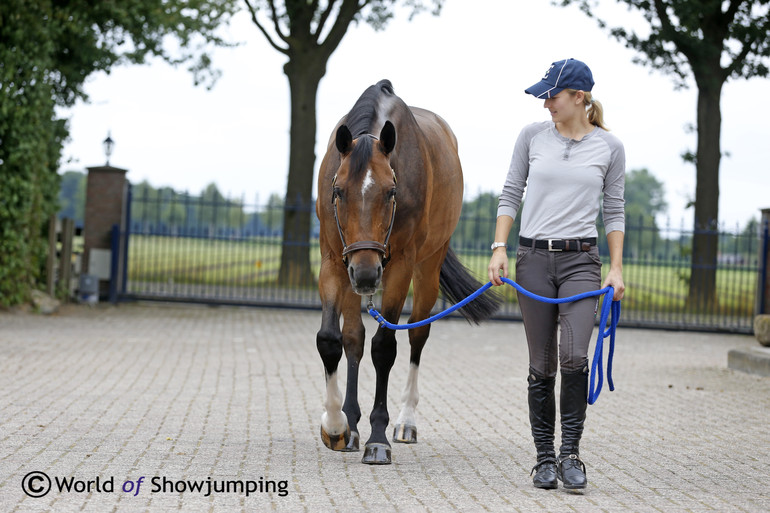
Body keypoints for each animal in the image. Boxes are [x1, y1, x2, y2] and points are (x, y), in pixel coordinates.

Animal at [316, 79, 500, 464]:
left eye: (391, 192)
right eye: (337, 190)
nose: (367, 275)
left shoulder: (399, 265)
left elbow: (385, 346)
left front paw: (377, 438)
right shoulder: (334, 260)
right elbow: (333, 339)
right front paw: (338, 426)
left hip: (427, 266)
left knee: (417, 334)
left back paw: (405, 421)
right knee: (354, 338)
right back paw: (352, 424)